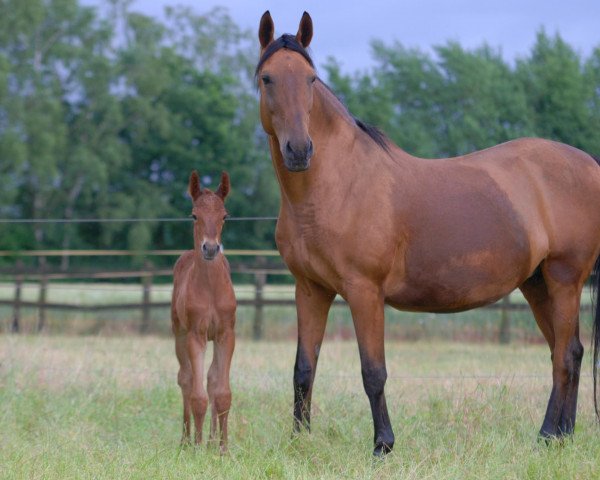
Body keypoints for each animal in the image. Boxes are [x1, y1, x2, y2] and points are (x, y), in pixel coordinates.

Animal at [255, 9, 600, 456]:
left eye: (311, 79)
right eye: (268, 78)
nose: (299, 150)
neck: (336, 185)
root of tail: (589, 165)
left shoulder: (364, 292)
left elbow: (373, 371)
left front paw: (383, 445)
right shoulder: (310, 290)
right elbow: (303, 368)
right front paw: (300, 442)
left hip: (564, 279)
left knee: (564, 356)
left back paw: (547, 435)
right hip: (538, 283)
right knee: (568, 350)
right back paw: (561, 436)